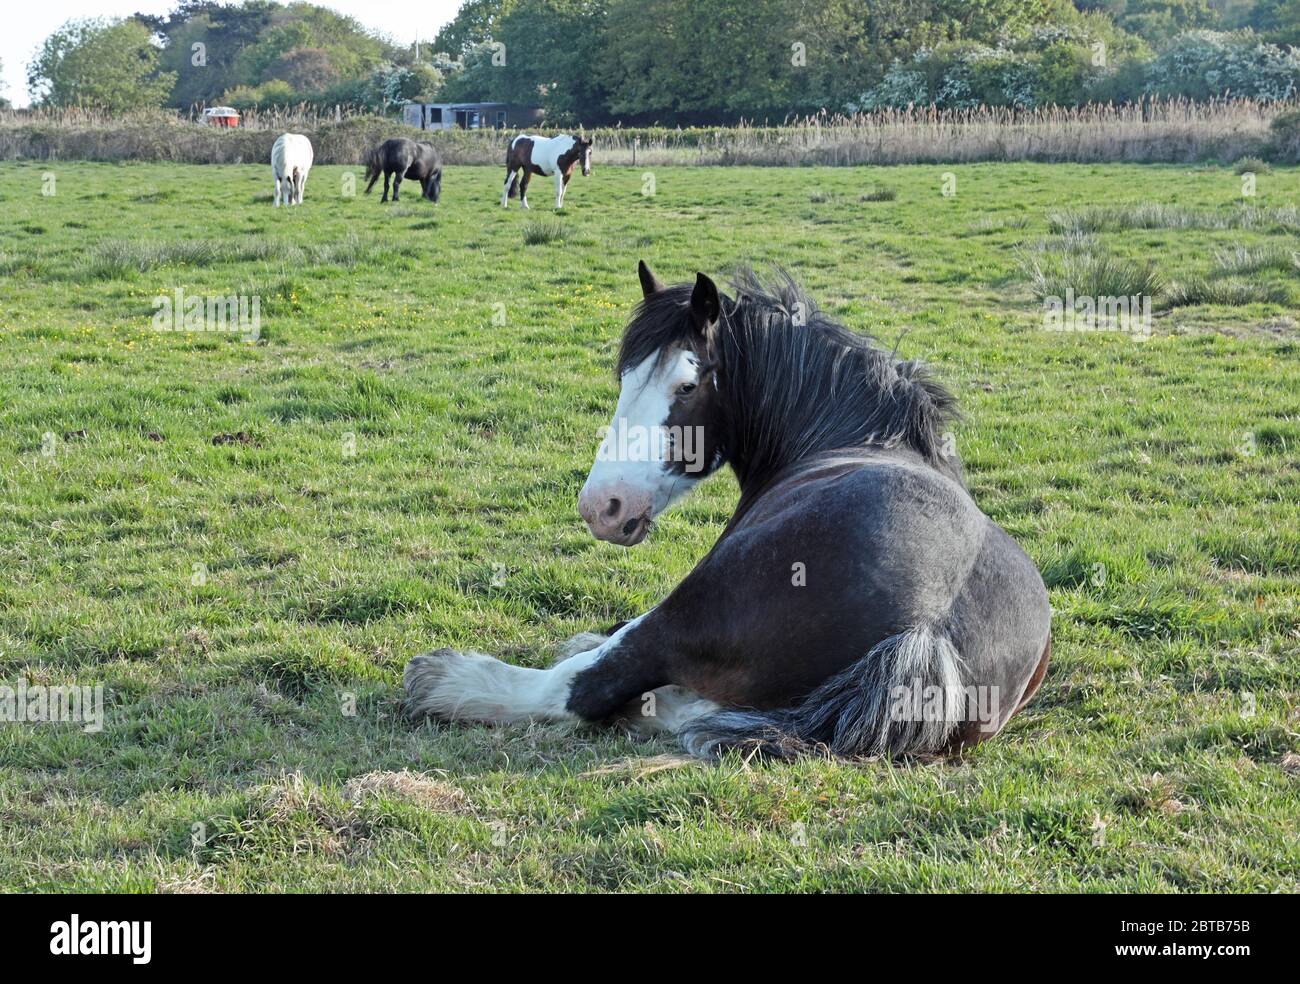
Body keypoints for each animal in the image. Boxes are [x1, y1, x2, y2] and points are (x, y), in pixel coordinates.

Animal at [405, 263, 1052, 761]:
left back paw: (447, 680)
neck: (863, 435)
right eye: (624, 375)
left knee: (589, 685)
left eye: (687, 386)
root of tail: (924, 628)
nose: (602, 508)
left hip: (692, 602)